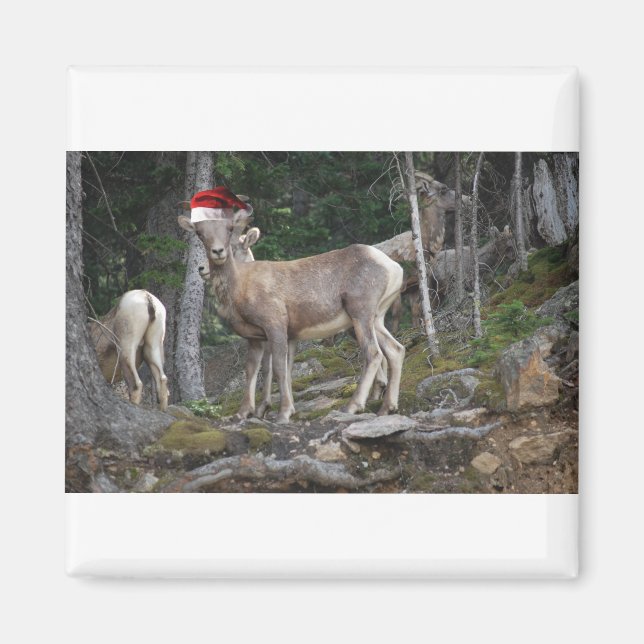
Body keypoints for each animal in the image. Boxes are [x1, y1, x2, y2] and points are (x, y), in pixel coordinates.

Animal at [179, 212, 405, 424]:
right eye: (200, 233)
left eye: (230, 230)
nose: (206, 264)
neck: (240, 288)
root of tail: (394, 268)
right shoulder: (259, 338)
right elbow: (255, 370)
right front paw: (244, 413)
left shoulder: (276, 327)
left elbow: (278, 369)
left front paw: (282, 413)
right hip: (376, 319)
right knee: (396, 349)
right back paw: (387, 408)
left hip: (360, 313)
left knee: (373, 353)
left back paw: (352, 406)